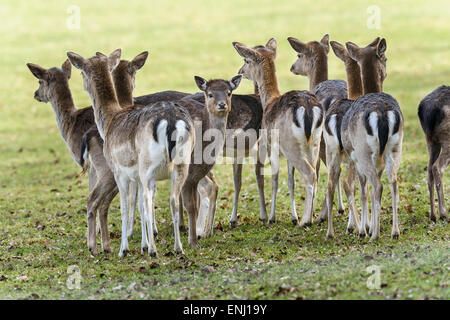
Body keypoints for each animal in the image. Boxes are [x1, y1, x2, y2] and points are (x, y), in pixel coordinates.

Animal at [232, 37, 324, 226]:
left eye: (246, 60)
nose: (240, 71)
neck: (269, 101)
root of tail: (308, 108)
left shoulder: (270, 145)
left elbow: (274, 179)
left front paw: (272, 218)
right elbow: (290, 180)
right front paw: (293, 217)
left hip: (291, 144)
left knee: (310, 173)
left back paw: (306, 220)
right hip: (315, 142)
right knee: (316, 172)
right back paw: (310, 216)